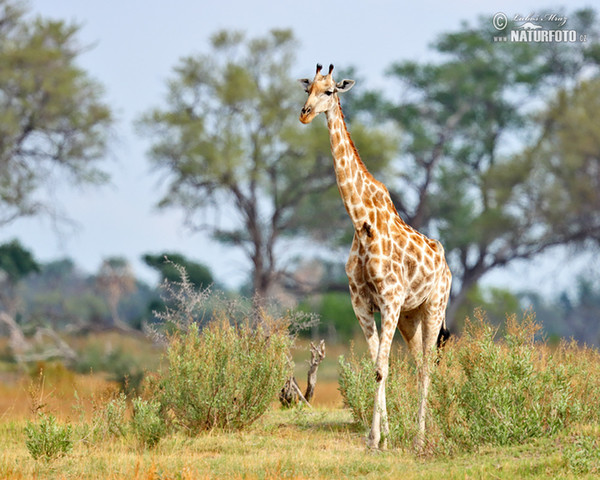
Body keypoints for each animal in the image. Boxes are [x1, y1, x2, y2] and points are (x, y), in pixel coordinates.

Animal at [298, 63, 450, 450]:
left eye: (330, 91)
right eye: (307, 89)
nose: (304, 114)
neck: (360, 221)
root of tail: (446, 264)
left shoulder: (390, 299)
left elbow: (382, 367)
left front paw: (376, 438)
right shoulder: (362, 302)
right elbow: (377, 366)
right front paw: (383, 437)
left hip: (433, 306)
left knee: (428, 366)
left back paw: (421, 438)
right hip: (411, 316)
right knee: (417, 363)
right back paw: (416, 432)